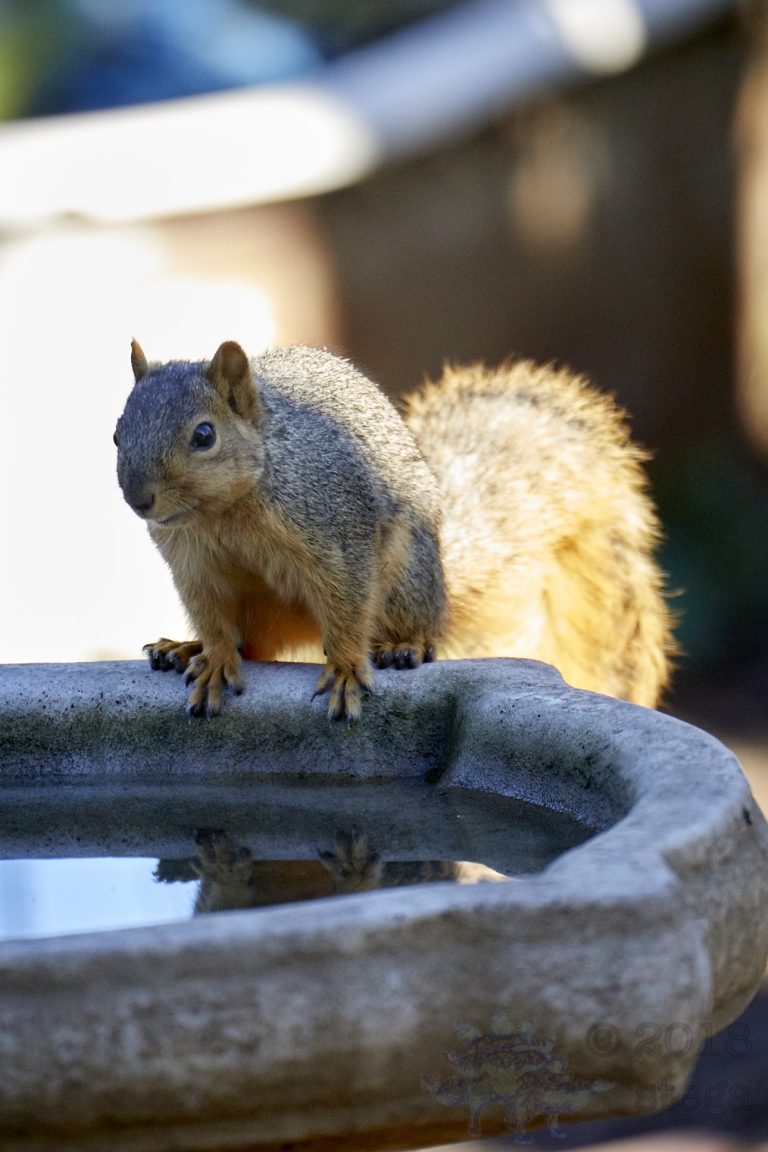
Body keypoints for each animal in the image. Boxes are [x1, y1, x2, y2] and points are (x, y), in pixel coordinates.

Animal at [114, 340, 674, 721]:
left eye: (204, 435)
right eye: (117, 432)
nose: (139, 499)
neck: (224, 512)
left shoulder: (338, 530)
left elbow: (346, 602)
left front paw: (345, 668)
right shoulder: (194, 566)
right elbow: (212, 617)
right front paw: (212, 657)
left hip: (406, 578)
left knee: (414, 626)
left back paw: (403, 646)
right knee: (253, 645)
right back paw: (187, 648)